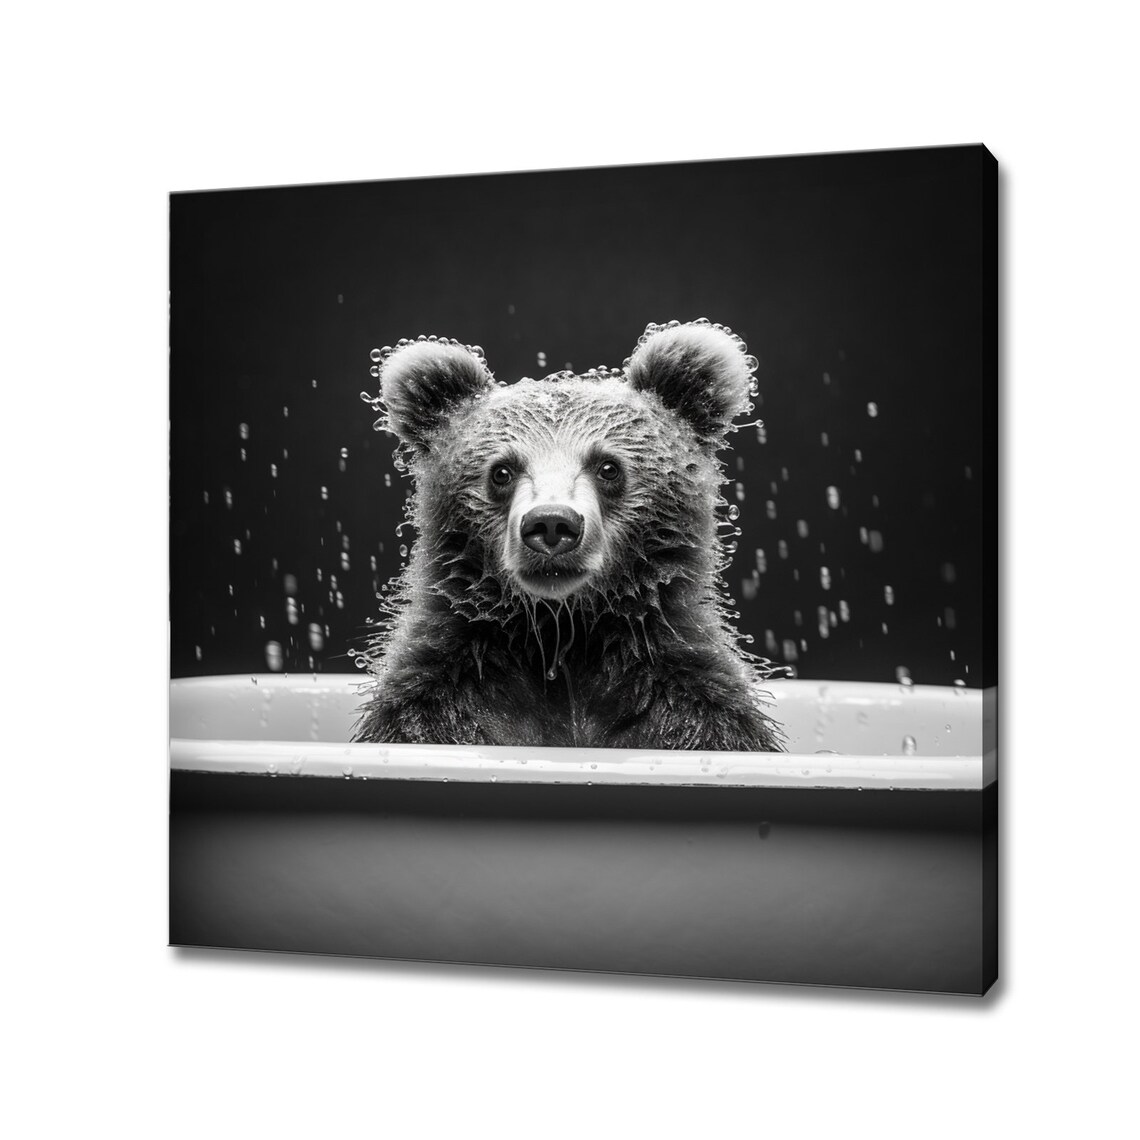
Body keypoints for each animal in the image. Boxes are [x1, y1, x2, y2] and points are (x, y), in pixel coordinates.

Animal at [352, 319, 784, 753]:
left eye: (608, 467)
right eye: (502, 471)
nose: (551, 524)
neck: (564, 636)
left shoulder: (686, 703)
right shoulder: (443, 697)